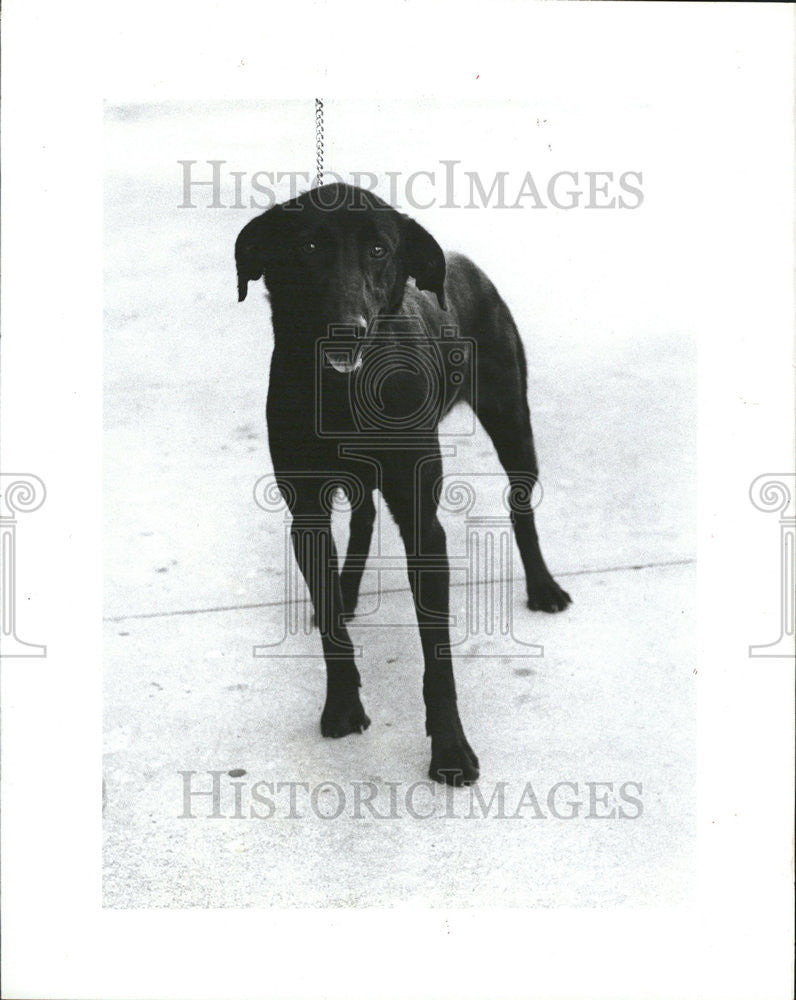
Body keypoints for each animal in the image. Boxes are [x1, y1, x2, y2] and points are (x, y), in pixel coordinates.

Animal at [236, 184, 572, 784]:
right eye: (308, 245)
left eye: (378, 249)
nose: (349, 327)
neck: (343, 395)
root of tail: (463, 262)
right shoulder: (306, 516)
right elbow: (331, 628)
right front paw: (342, 706)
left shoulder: (422, 523)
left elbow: (436, 654)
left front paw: (451, 750)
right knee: (364, 518)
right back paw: (347, 591)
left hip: (512, 419)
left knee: (520, 507)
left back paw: (543, 586)